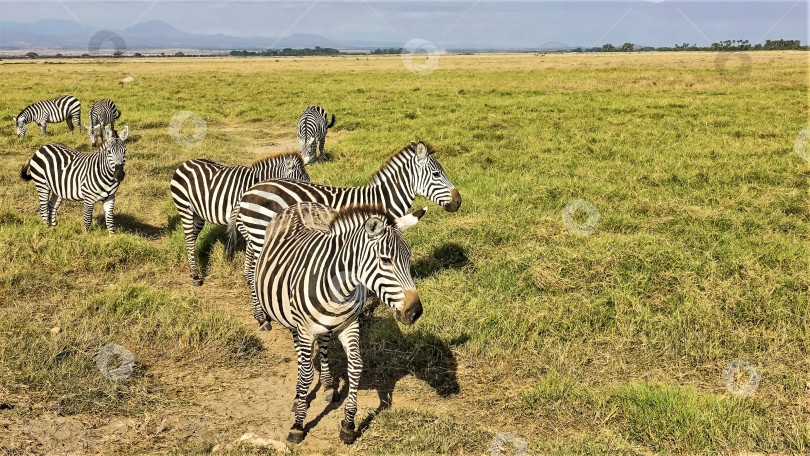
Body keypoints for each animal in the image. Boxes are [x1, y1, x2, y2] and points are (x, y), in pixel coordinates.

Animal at [170, 151, 310, 284]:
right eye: (301, 182)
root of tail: (185, 163)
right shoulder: (239, 219)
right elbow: (251, 244)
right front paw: (250, 274)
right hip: (185, 208)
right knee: (189, 238)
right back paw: (195, 275)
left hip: (198, 215)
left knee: (192, 238)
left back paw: (192, 268)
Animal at [224, 141, 458, 330]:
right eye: (437, 175)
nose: (458, 201)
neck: (380, 200)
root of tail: (249, 192)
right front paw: (360, 315)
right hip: (260, 236)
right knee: (254, 272)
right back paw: (262, 318)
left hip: (255, 238)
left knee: (249, 271)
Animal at [254, 201, 422, 444]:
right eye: (385, 260)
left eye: (409, 259)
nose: (415, 312)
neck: (340, 289)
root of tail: (301, 204)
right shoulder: (305, 330)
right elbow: (306, 373)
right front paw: (298, 424)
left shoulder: (349, 325)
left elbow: (356, 366)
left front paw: (349, 424)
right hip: (291, 320)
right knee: (301, 355)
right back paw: (299, 394)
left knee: (323, 343)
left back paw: (327, 384)